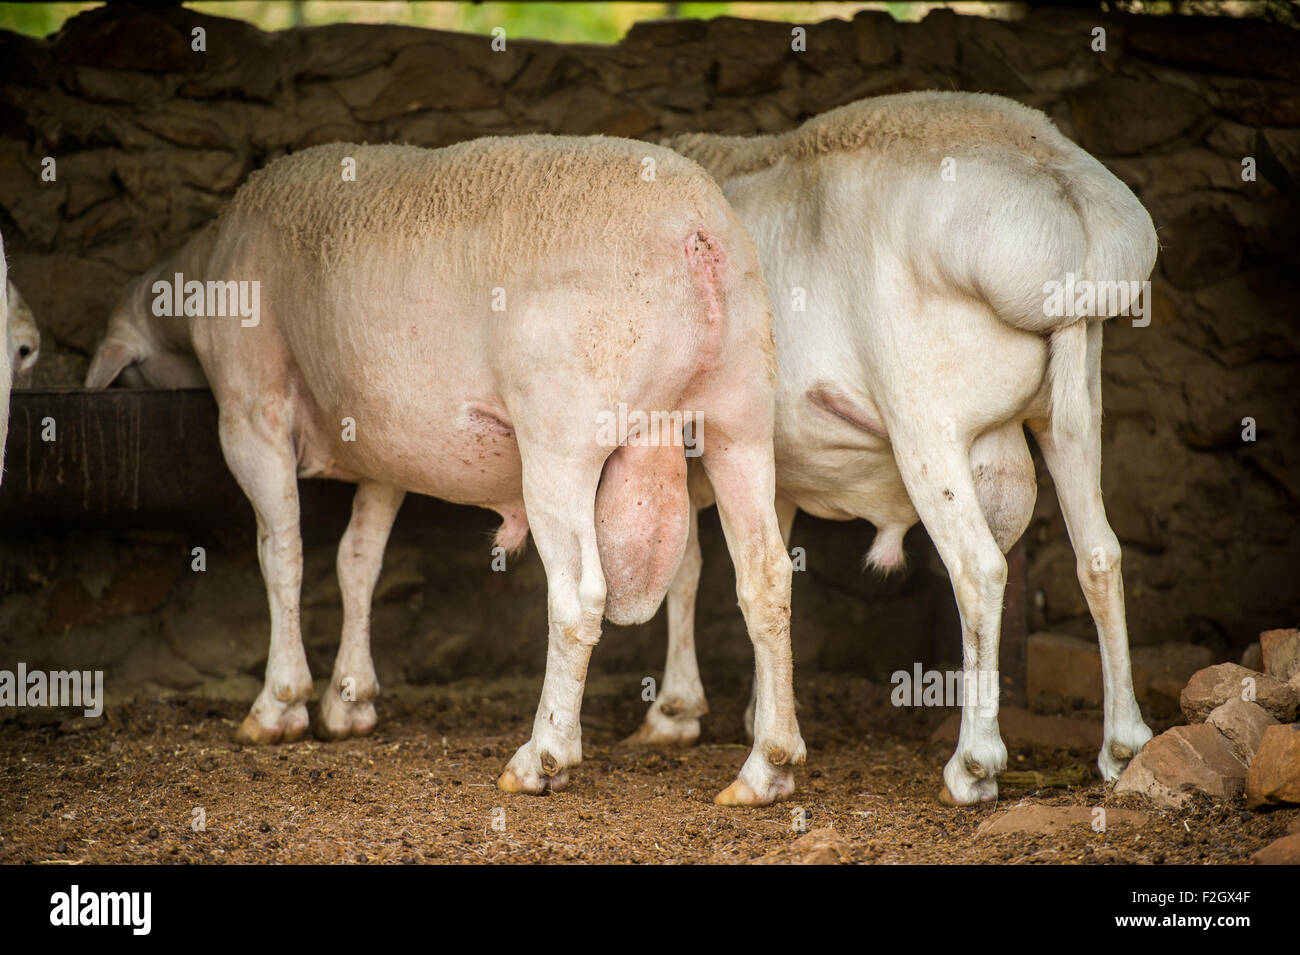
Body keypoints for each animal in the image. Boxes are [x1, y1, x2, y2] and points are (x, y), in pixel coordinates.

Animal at [83, 134, 800, 805]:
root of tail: (695, 234)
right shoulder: (383, 447)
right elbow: (357, 560)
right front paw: (349, 699)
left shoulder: (248, 412)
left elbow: (281, 554)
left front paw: (279, 703)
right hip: (740, 418)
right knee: (766, 579)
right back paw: (768, 768)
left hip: (562, 435)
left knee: (578, 597)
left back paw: (543, 757)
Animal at [629, 91, 1159, 805]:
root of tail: (1069, 215)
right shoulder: (777, 466)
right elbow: (764, 562)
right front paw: (757, 711)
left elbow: (688, 566)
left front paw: (680, 711)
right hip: (1072, 406)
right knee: (1099, 555)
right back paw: (1122, 747)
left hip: (925, 415)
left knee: (979, 568)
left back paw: (973, 766)